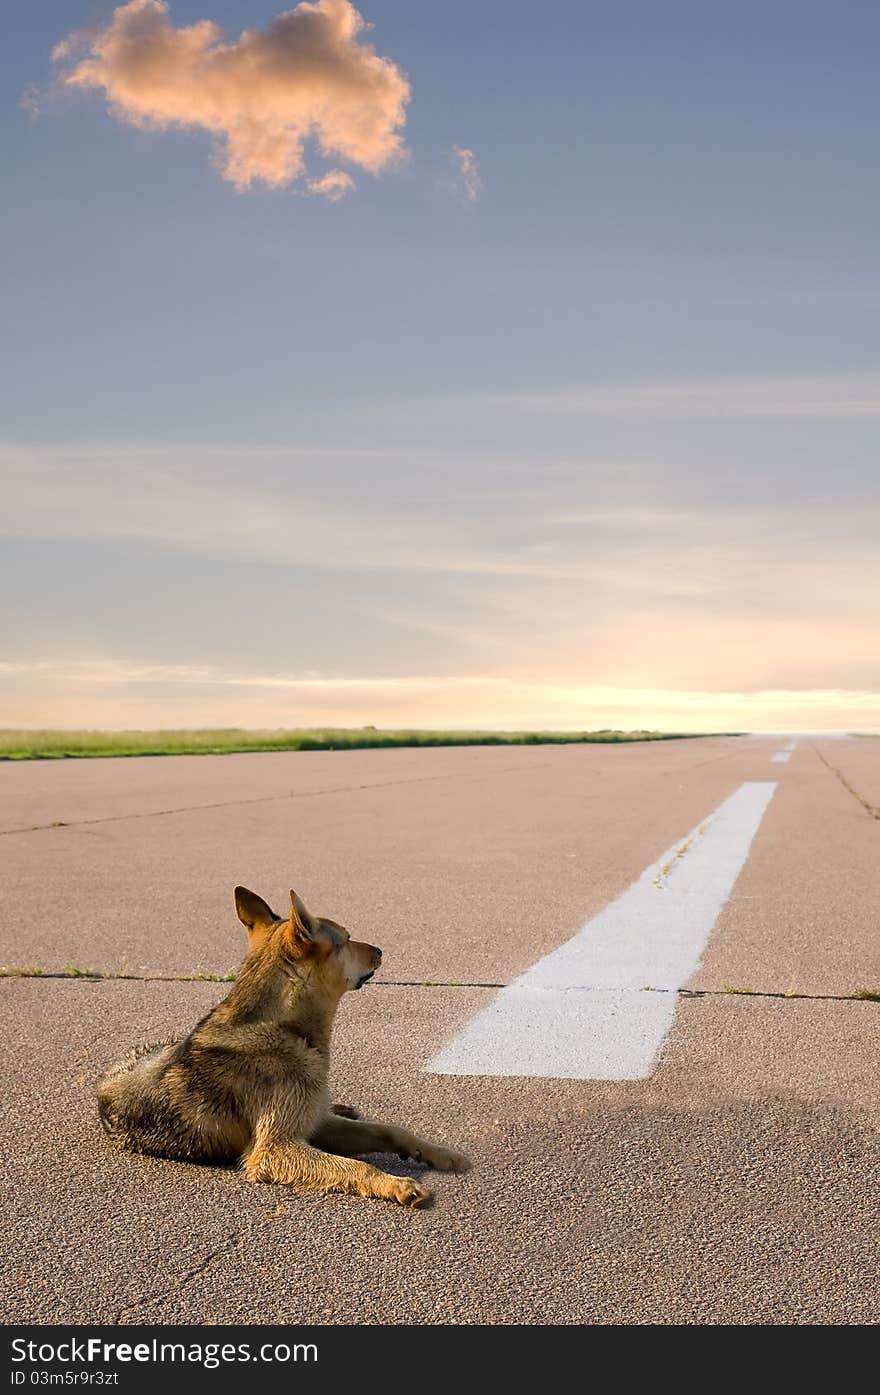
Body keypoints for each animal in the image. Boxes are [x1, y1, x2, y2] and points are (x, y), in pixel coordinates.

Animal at [96, 887, 471, 1205]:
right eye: (348, 939)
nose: (380, 950)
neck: (284, 1028)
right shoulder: (276, 1149)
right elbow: (355, 1166)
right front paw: (394, 1183)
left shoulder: (316, 1124)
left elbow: (389, 1129)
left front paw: (439, 1153)